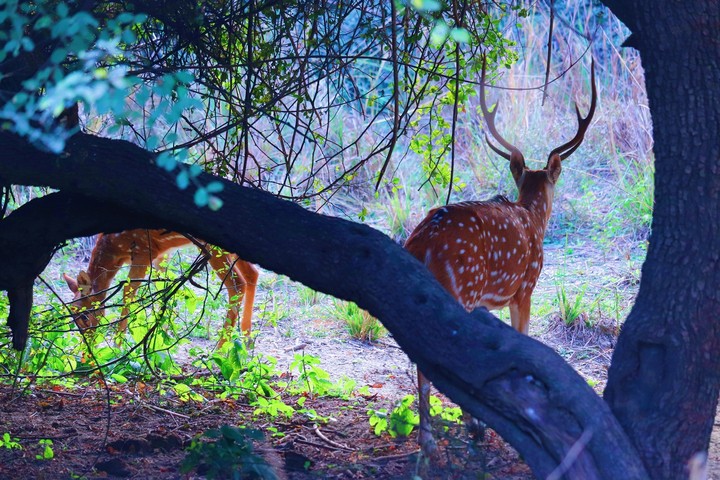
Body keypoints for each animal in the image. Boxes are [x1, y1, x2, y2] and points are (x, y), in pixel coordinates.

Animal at [63, 229, 259, 346]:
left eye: (84, 316)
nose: (87, 344)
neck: (116, 251)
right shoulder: (159, 255)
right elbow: (164, 286)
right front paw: (161, 337)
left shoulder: (143, 250)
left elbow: (128, 292)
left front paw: (119, 345)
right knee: (252, 273)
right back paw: (247, 338)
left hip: (213, 246)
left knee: (237, 284)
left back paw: (219, 350)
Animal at [404, 59, 596, 455]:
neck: (533, 219)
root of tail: (422, 242)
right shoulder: (525, 286)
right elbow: (523, 338)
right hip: (462, 286)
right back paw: (460, 431)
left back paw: (430, 439)